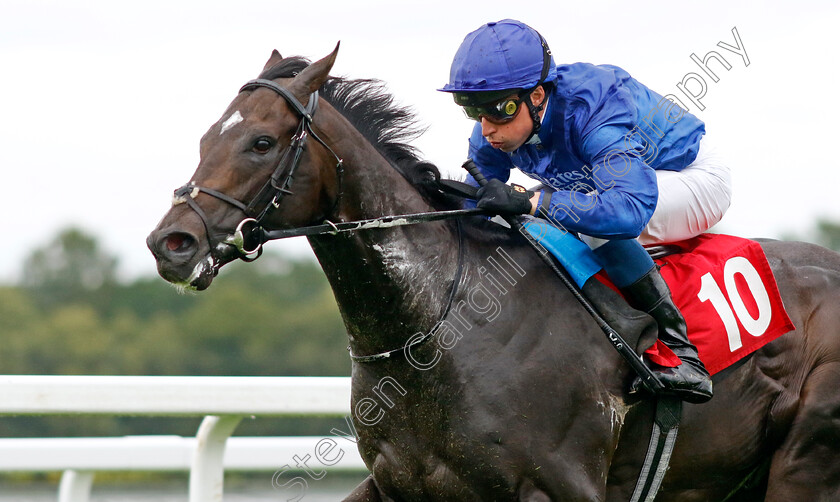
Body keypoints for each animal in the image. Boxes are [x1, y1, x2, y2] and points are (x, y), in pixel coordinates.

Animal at [146, 46, 840, 498]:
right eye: (207, 138)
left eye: (261, 142)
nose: (170, 242)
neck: (434, 330)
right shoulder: (401, 487)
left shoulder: (561, 490)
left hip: (805, 461)